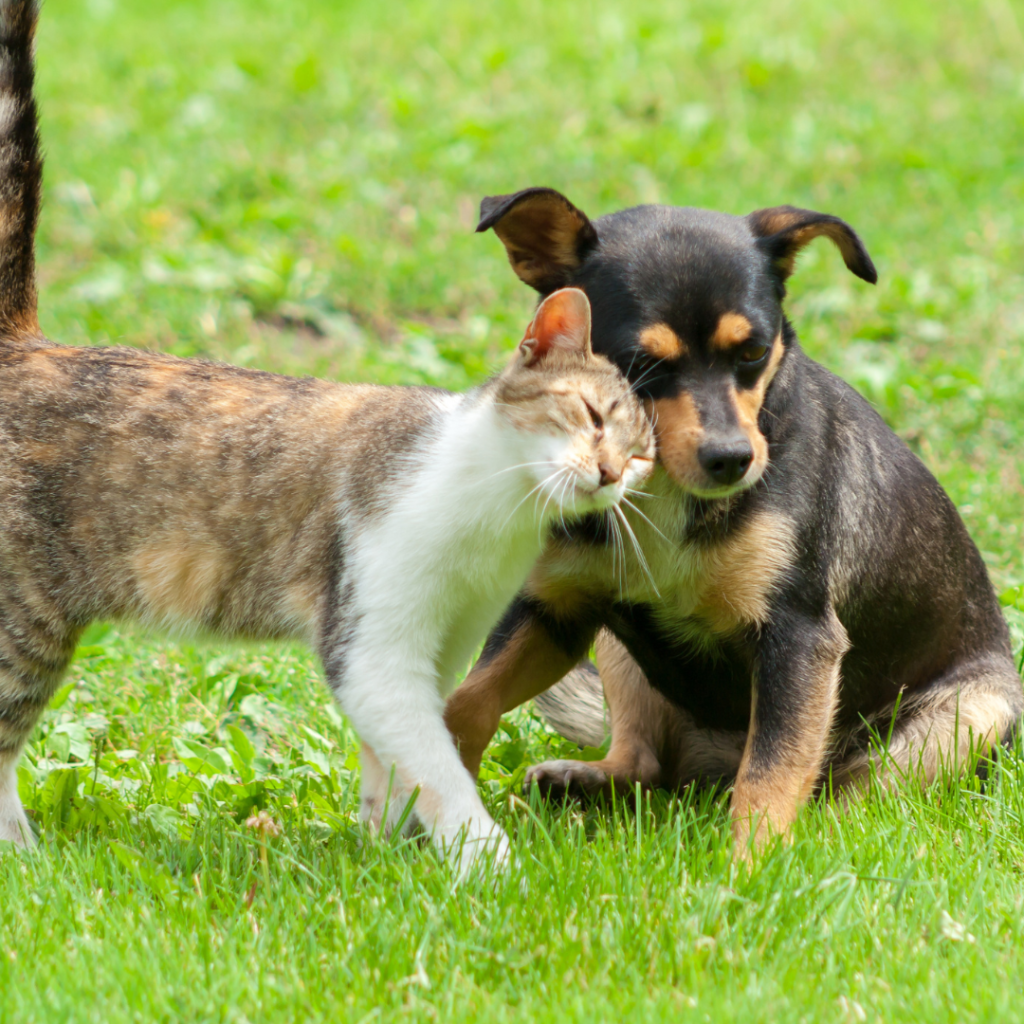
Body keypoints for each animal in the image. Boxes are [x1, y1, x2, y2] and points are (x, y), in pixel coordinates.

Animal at [0, 0, 655, 872]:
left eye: (644, 454)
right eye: (590, 415)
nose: (612, 471)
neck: (496, 517)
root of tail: (22, 342)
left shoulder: (444, 645)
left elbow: (397, 766)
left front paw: (386, 850)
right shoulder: (374, 648)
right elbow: (441, 769)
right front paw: (491, 864)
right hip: (22, 621)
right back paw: (20, 854)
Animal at [446, 186, 1024, 856]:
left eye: (753, 352)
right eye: (641, 363)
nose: (731, 459)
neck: (662, 488)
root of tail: (709, 766)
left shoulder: (799, 636)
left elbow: (770, 774)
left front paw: (748, 869)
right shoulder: (556, 611)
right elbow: (466, 702)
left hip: (964, 718)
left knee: (843, 793)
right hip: (619, 652)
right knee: (645, 764)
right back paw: (581, 780)